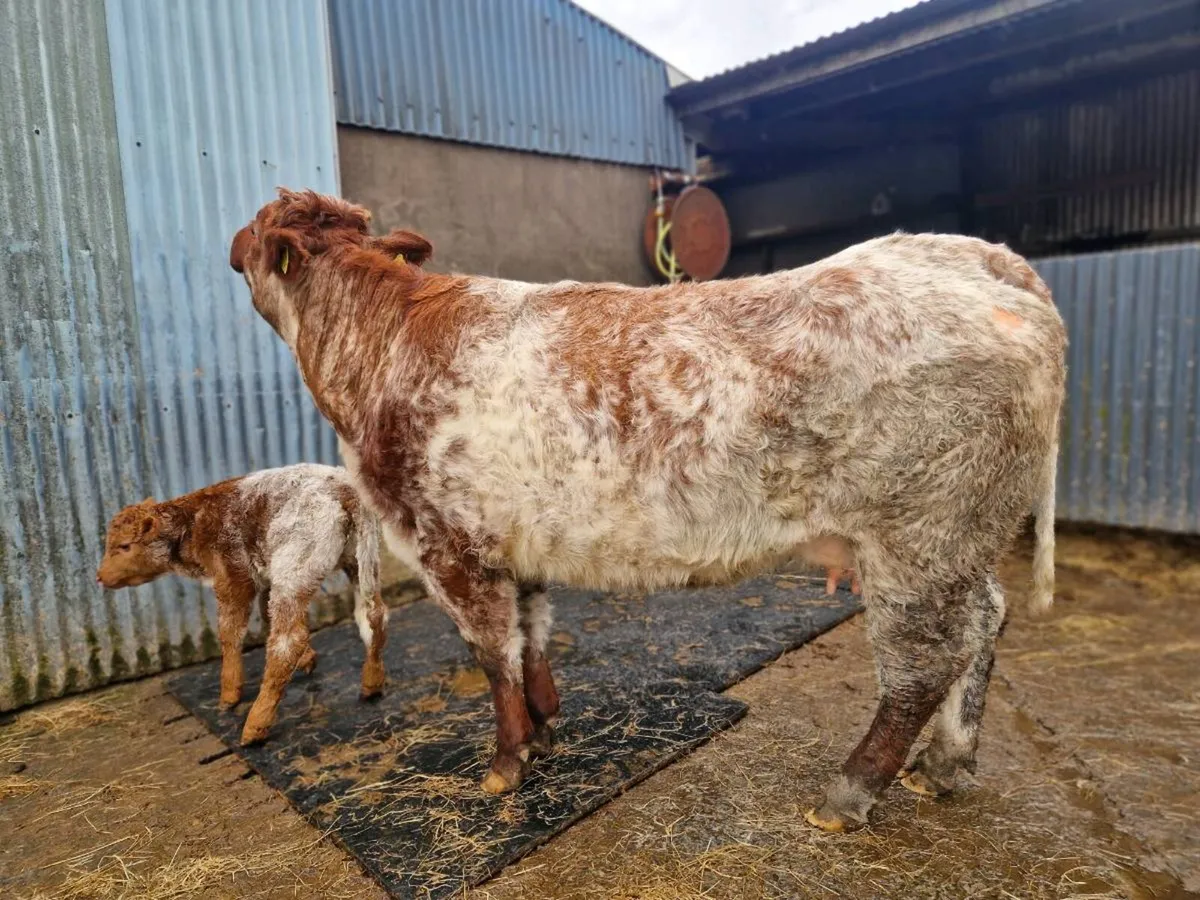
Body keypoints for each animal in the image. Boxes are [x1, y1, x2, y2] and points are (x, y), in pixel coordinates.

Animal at [97, 463, 387, 745]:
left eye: (124, 546)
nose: (99, 576)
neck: (193, 522)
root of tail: (343, 487)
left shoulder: (234, 578)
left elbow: (230, 633)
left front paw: (230, 693)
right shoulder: (265, 576)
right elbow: (265, 616)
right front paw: (308, 660)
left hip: (293, 572)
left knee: (287, 642)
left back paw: (255, 726)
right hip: (358, 562)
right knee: (374, 614)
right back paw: (372, 683)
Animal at [229, 188, 1065, 831]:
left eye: (260, 228)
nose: (233, 244)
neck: (379, 348)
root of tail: (984, 257)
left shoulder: (447, 545)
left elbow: (492, 655)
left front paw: (504, 764)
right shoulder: (514, 544)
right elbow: (531, 638)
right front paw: (545, 728)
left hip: (917, 537)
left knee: (922, 665)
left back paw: (850, 792)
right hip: (961, 540)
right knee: (984, 622)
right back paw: (947, 763)